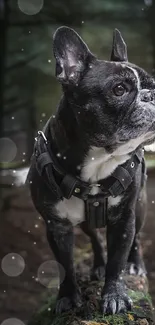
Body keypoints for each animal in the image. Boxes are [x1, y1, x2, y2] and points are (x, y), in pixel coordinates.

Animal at [27, 26, 155, 312]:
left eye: (153, 86)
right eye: (119, 89)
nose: (151, 95)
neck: (99, 163)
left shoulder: (124, 219)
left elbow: (118, 261)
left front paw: (115, 295)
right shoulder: (57, 226)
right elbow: (65, 264)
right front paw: (67, 296)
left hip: (140, 205)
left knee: (136, 239)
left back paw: (135, 265)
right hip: (85, 222)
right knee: (95, 237)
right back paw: (98, 265)